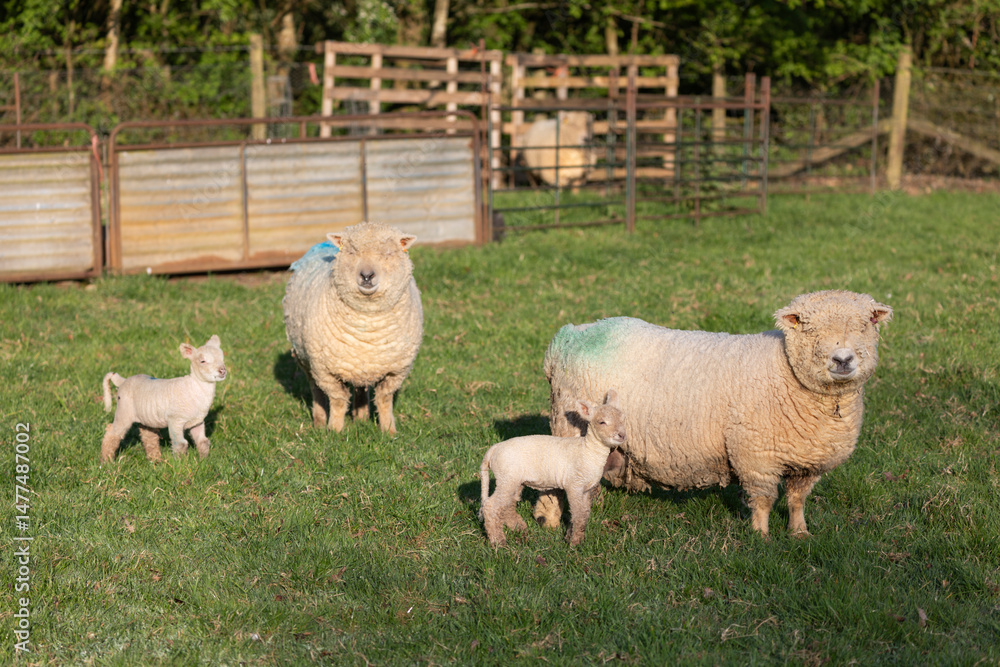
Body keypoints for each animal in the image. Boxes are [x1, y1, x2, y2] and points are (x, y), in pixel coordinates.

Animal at [100, 335, 227, 463]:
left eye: (222, 358)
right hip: (124, 411)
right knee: (112, 433)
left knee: (148, 436)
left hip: (146, 416)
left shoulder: (197, 421)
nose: (222, 371)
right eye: (202, 361)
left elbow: (203, 441)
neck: (193, 386)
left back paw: (155, 459)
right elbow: (180, 444)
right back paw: (106, 460)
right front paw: (181, 464)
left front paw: (204, 461)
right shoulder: (175, 420)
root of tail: (122, 380)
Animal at [283, 221, 423, 434]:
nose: (366, 275)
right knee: (315, 389)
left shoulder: (396, 370)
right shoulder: (325, 371)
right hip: (305, 358)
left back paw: (361, 418)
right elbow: (338, 401)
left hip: (360, 365)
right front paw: (335, 431)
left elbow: (384, 400)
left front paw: (389, 431)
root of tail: (321, 244)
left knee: (361, 388)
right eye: (351, 252)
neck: (368, 324)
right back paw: (319, 422)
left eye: (388, 253)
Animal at [479, 390, 627, 547]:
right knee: (491, 506)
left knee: (507, 505)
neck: (588, 450)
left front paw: (574, 538)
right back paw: (498, 542)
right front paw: (574, 544)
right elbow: (578, 514)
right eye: (602, 422)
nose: (622, 435)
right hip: (506, 478)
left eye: (623, 419)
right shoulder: (574, 485)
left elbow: (584, 514)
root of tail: (493, 450)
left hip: (514, 480)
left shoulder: (586, 489)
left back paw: (519, 528)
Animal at [539, 290, 893, 537]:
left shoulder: (808, 462)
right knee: (553, 482)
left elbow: (796, 500)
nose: (843, 359)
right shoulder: (755, 455)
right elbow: (764, 500)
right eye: (809, 328)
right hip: (568, 424)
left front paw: (799, 533)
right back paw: (548, 522)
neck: (787, 372)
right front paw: (761, 537)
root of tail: (567, 336)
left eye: (867, 324)